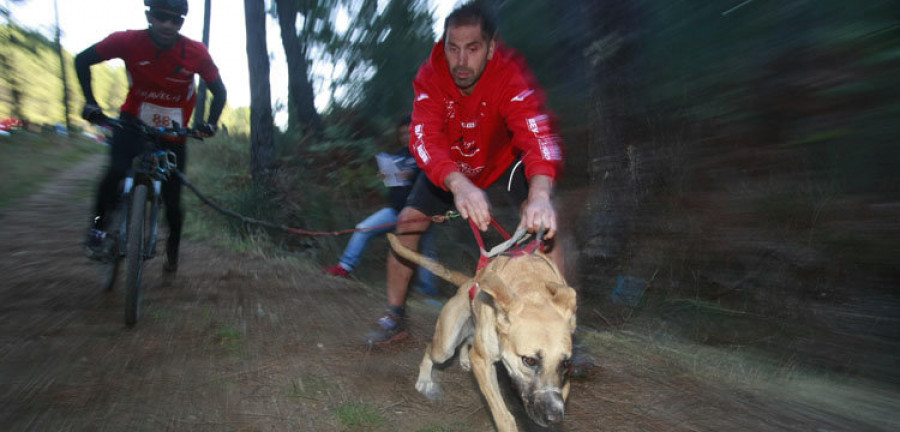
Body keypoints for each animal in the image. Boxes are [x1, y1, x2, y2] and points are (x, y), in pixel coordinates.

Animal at [386, 233, 576, 432]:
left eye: (566, 363)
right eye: (529, 360)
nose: (555, 418)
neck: (533, 289)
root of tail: (468, 282)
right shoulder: (482, 361)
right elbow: (504, 417)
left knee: (464, 343)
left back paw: (463, 359)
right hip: (445, 347)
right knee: (430, 348)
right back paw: (425, 380)